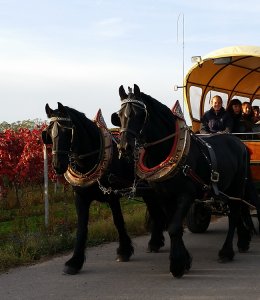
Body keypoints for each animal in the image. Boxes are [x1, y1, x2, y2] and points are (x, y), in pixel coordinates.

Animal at [42, 102, 166, 274]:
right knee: (155, 211)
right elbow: (81, 227)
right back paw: (156, 240)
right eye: (48, 133)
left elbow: (118, 221)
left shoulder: (112, 195)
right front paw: (74, 261)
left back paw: (155, 241)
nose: (57, 165)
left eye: (67, 131)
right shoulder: (80, 197)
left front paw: (124, 251)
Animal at [111, 83, 256, 278]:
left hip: (237, 185)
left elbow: (174, 227)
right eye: (119, 115)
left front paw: (177, 264)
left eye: (140, 114)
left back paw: (226, 252)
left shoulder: (186, 195)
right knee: (238, 210)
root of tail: (239, 143)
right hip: (224, 190)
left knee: (234, 213)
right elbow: (174, 226)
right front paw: (184, 259)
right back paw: (243, 241)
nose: (124, 147)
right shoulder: (164, 197)